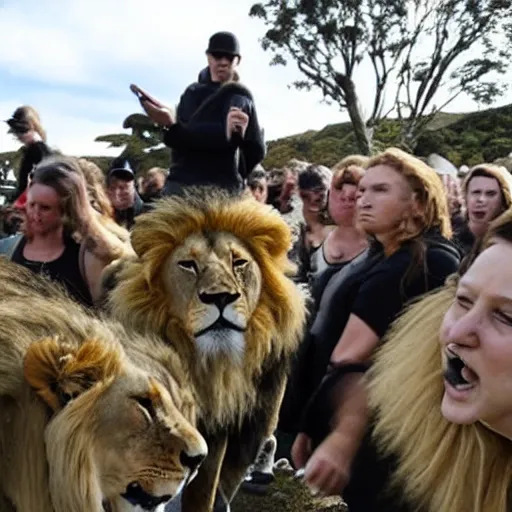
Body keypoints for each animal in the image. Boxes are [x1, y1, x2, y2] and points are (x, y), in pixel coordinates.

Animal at [102, 191, 306, 512]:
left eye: (239, 262)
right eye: (188, 265)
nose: (221, 297)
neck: (201, 364)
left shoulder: (216, 434)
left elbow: (202, 491)